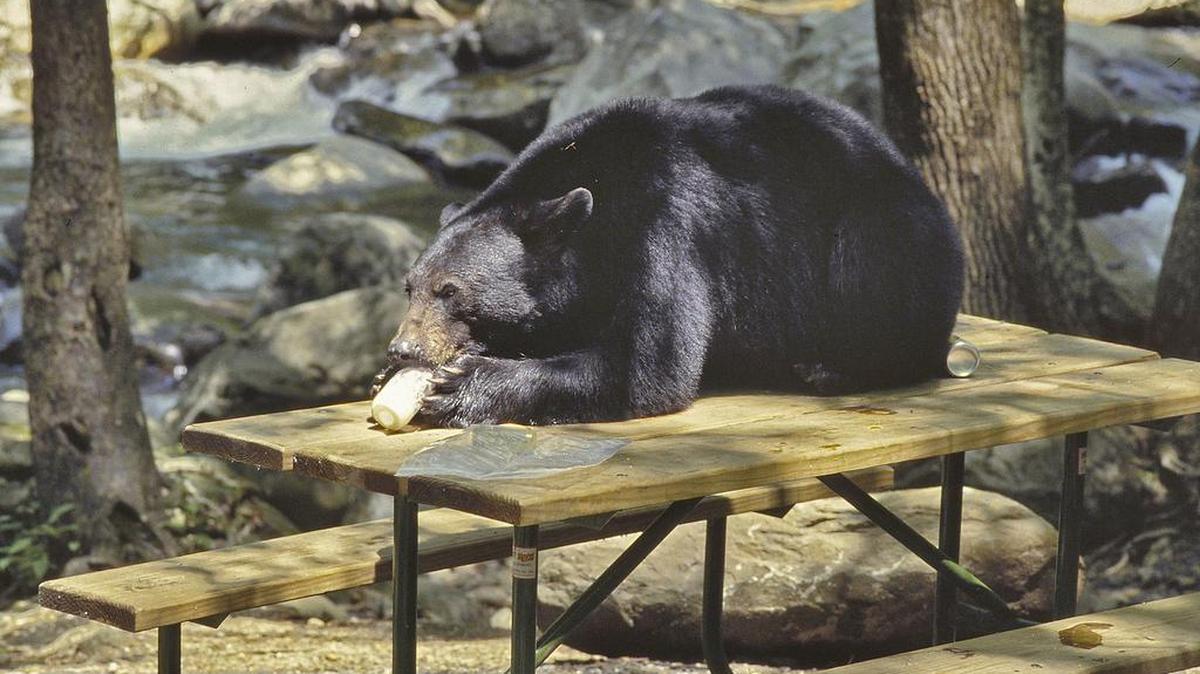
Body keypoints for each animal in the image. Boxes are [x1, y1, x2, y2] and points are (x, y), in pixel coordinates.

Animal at [372, 84, 965, 428]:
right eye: (410, 287)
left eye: (451, 291)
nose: (403, 349)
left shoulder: (669, 224)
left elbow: (649, 367)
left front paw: (462, 386)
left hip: (882, 228)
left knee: (869, 274)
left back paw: (830, 368)